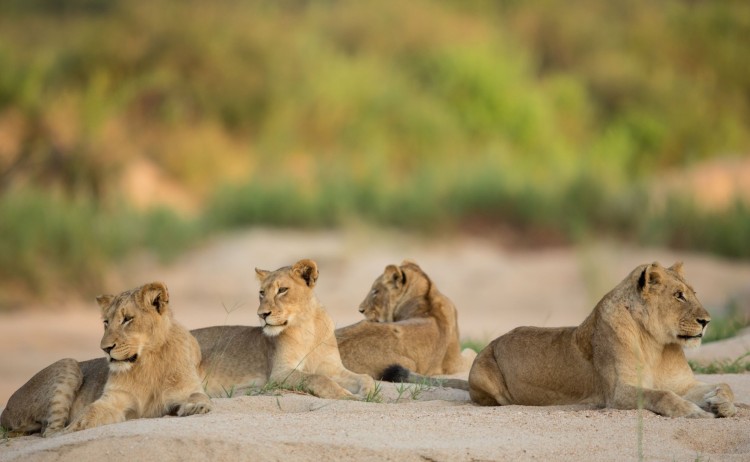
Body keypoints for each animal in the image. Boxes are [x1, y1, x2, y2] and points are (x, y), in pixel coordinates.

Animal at [0, 282, 211, 436]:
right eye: (106, 322)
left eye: (127, 319)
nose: (105, 348)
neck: (145, 362)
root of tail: (5, 411)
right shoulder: (114, 400)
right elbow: (88, 413)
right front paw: (73, 427)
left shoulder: (186, 388)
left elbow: (198, 395)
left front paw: (197, 406)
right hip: (68, 363)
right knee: (48, 431)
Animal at [193, 259, 375, 400]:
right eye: (261, 292)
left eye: (282, 290)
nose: (262, 314)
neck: (308, 327)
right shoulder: (279, 373)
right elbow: (317, 378)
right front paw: (345, 395)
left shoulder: (332, 368)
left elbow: (365, 377)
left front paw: (368, 393)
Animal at [335, 261, 475, 382]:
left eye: (375, 291)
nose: (360, 309)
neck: (427, 296)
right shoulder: (455, 363)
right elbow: (471, 352)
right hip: (407, 365)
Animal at [468, 262, 737, 418]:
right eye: (679, 295)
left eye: (694, 293)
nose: (707, 321)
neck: (656, 345)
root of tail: (494, 341)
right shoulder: (618, 392)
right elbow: (662, 395)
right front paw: (695, 411)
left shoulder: (683, 384)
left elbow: (725, 384)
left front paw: (722, 405)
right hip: (482, 372)